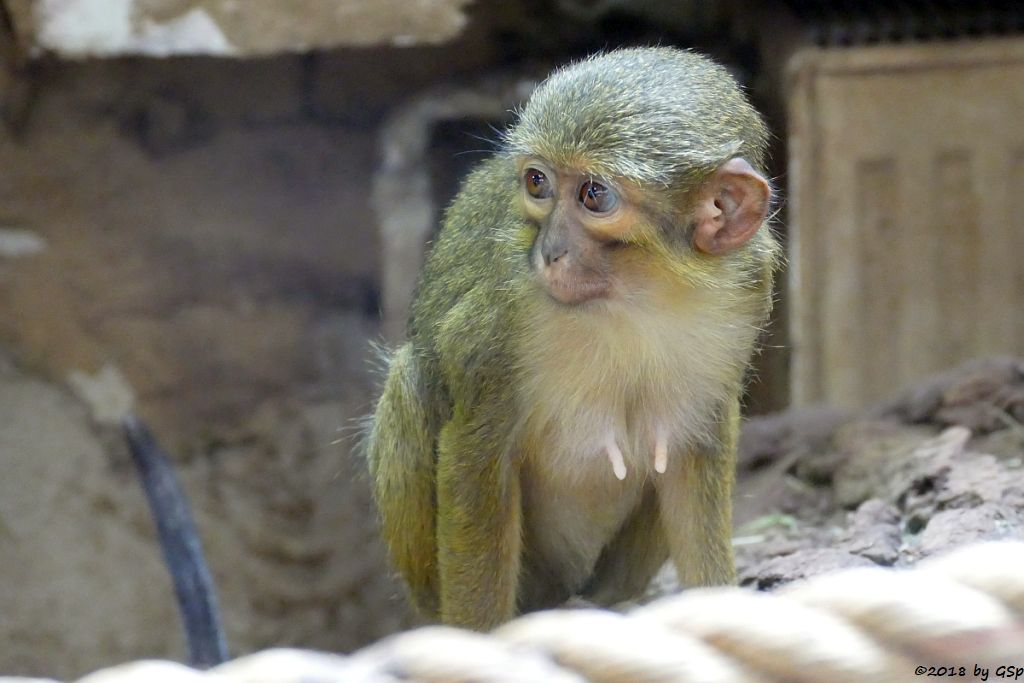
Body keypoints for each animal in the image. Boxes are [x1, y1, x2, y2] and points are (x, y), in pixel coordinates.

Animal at [364, 48, 778, 634]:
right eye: (538, 183)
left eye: (593, 194)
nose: (550, 251)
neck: (636, 294)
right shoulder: (501, 323)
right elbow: (477, 453)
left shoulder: (744, 291)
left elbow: (690, 454)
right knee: (408, 380)